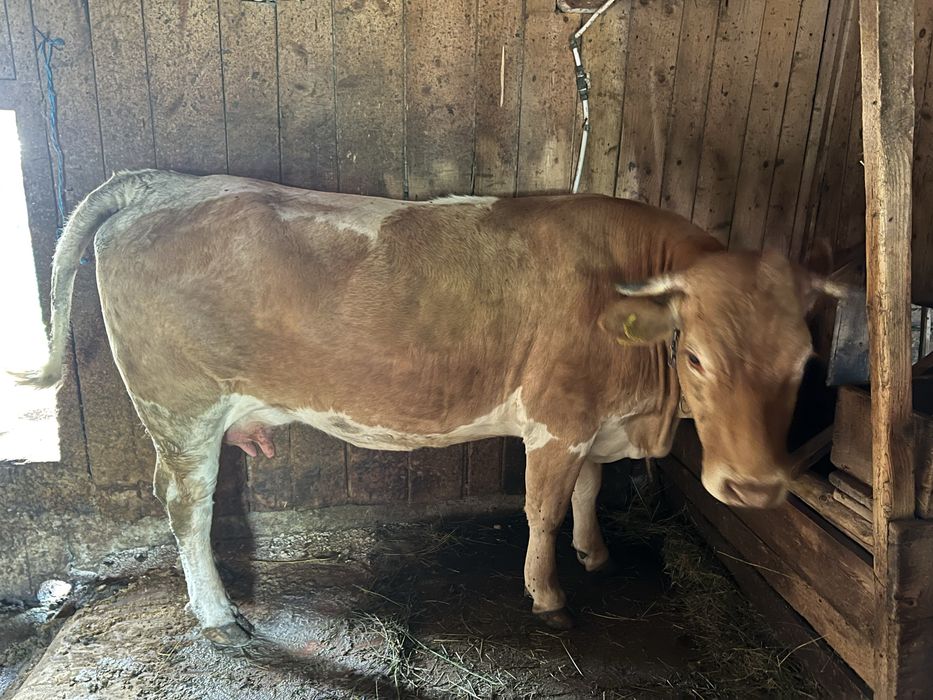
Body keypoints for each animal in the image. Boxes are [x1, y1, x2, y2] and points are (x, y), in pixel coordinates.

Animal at [20, 170, 843, 647]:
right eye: (695, 355)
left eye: (804, 361)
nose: (753, 487)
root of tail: (161, 182)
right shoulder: (557, 419)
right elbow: (543, 510)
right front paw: (548, 594)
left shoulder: (591, 426)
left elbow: (587, 492)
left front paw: (595, 552)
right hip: (179, 407)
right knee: (185, 505)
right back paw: (219, 614)